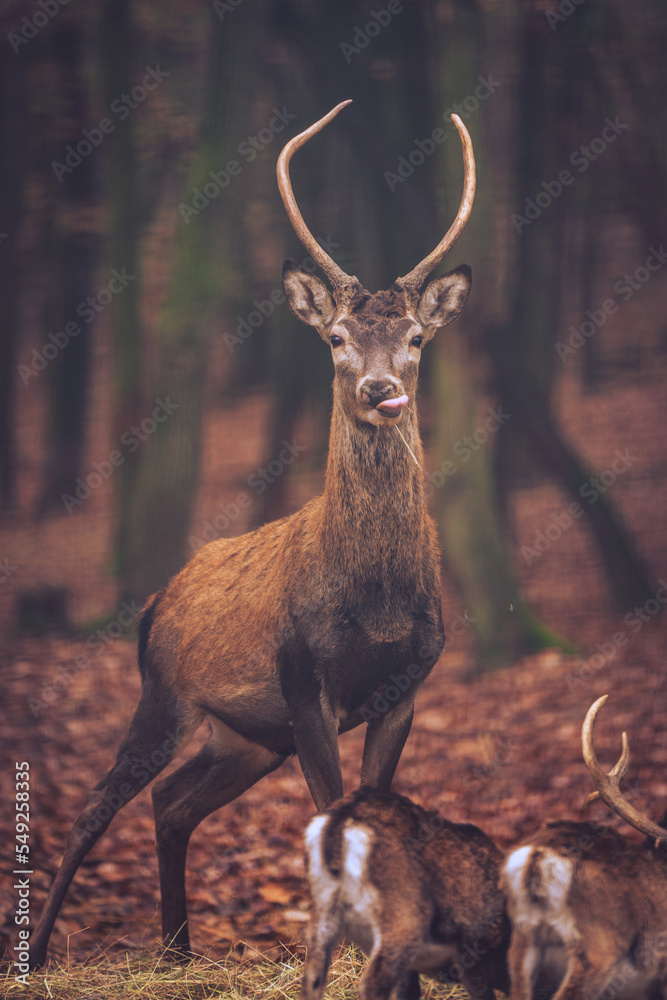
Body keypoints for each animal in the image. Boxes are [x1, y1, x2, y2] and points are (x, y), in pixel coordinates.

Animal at [29, 100, 476, 968]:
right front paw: (334, 959)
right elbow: (331, 820)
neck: (376, 601)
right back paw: (36, 954)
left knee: (172, 802)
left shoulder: (405, 685)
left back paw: (177, 951)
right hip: (166, 693)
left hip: (245, 734)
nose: (381, 390)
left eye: (414, 339)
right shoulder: (303, 677)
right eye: (335, 338)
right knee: (100, 804)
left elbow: (372, 818)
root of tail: (153, 603)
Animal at [301, 787, 510, 1000]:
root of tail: (339, 823)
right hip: (407, 917)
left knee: (312, 975)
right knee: (371, 983)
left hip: (323, 906)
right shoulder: (473, 948)